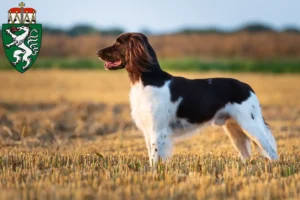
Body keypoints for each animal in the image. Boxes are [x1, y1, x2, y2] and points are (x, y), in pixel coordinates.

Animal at [96, 32, 278, 166]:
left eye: (118, 43)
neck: (148, 80)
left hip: (251, 125)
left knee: (271, 151)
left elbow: (154, 158)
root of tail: (248, 87)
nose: (97, 52)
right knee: (246, 154)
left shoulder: (158, 130)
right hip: (235, 128)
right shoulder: (148, 131)